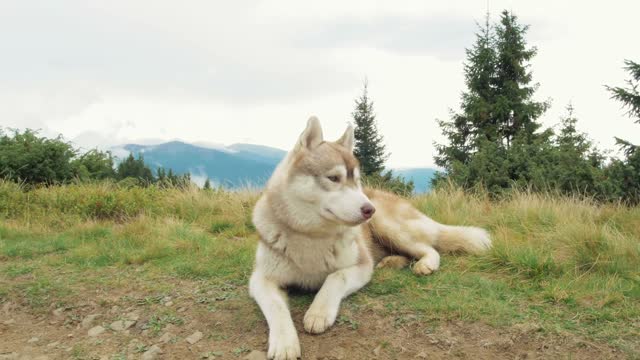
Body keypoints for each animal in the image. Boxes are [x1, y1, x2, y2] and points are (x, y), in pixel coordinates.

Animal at [249, 116, 490, 358]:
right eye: (333, 178)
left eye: (356, 180)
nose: (369, 209)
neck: (313, 236)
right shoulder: (260, 279)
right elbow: (276, 307)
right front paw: (284, 343)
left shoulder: (361, 265)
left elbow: (335, 277)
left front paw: (318, 311)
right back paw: (392, 261)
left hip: (389, 227)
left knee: (429, 248)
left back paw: (425, 264)